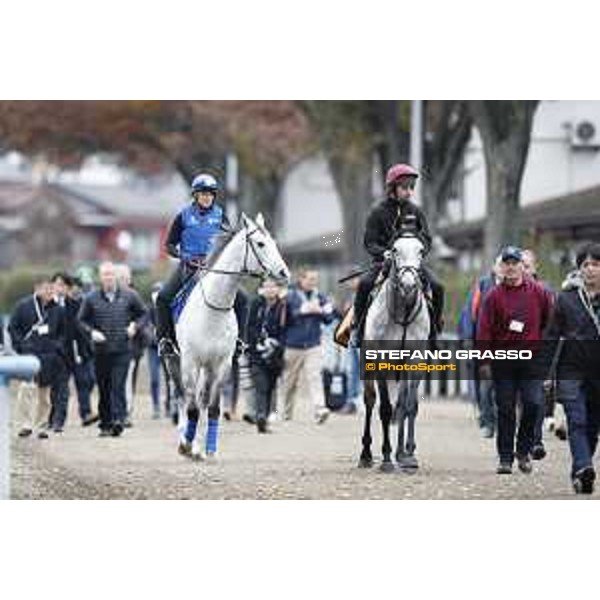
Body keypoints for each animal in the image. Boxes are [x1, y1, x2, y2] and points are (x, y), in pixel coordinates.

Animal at [175, 213, 290, 462]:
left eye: (274, 242)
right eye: (260, 244)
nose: (284, 273)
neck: (212, 310)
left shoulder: (221, 364)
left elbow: (213, 408)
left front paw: (209, 449)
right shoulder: (191, 362)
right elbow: (191, 408)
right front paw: (186, 446)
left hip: (208, 369)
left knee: (202, 400)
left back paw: (198, 446)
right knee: (185, 398)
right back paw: (186, 441)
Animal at [358, 234, 428, 474]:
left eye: (421, 250)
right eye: (395, 249)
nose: (408, 284)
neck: (402, 312)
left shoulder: (414, 361)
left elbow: (408, 406)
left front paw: (407, 455)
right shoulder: (380, 360)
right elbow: (386, 409)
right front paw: (387, 458)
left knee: (403, 404)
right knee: (370, 400)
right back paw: (366, 455)